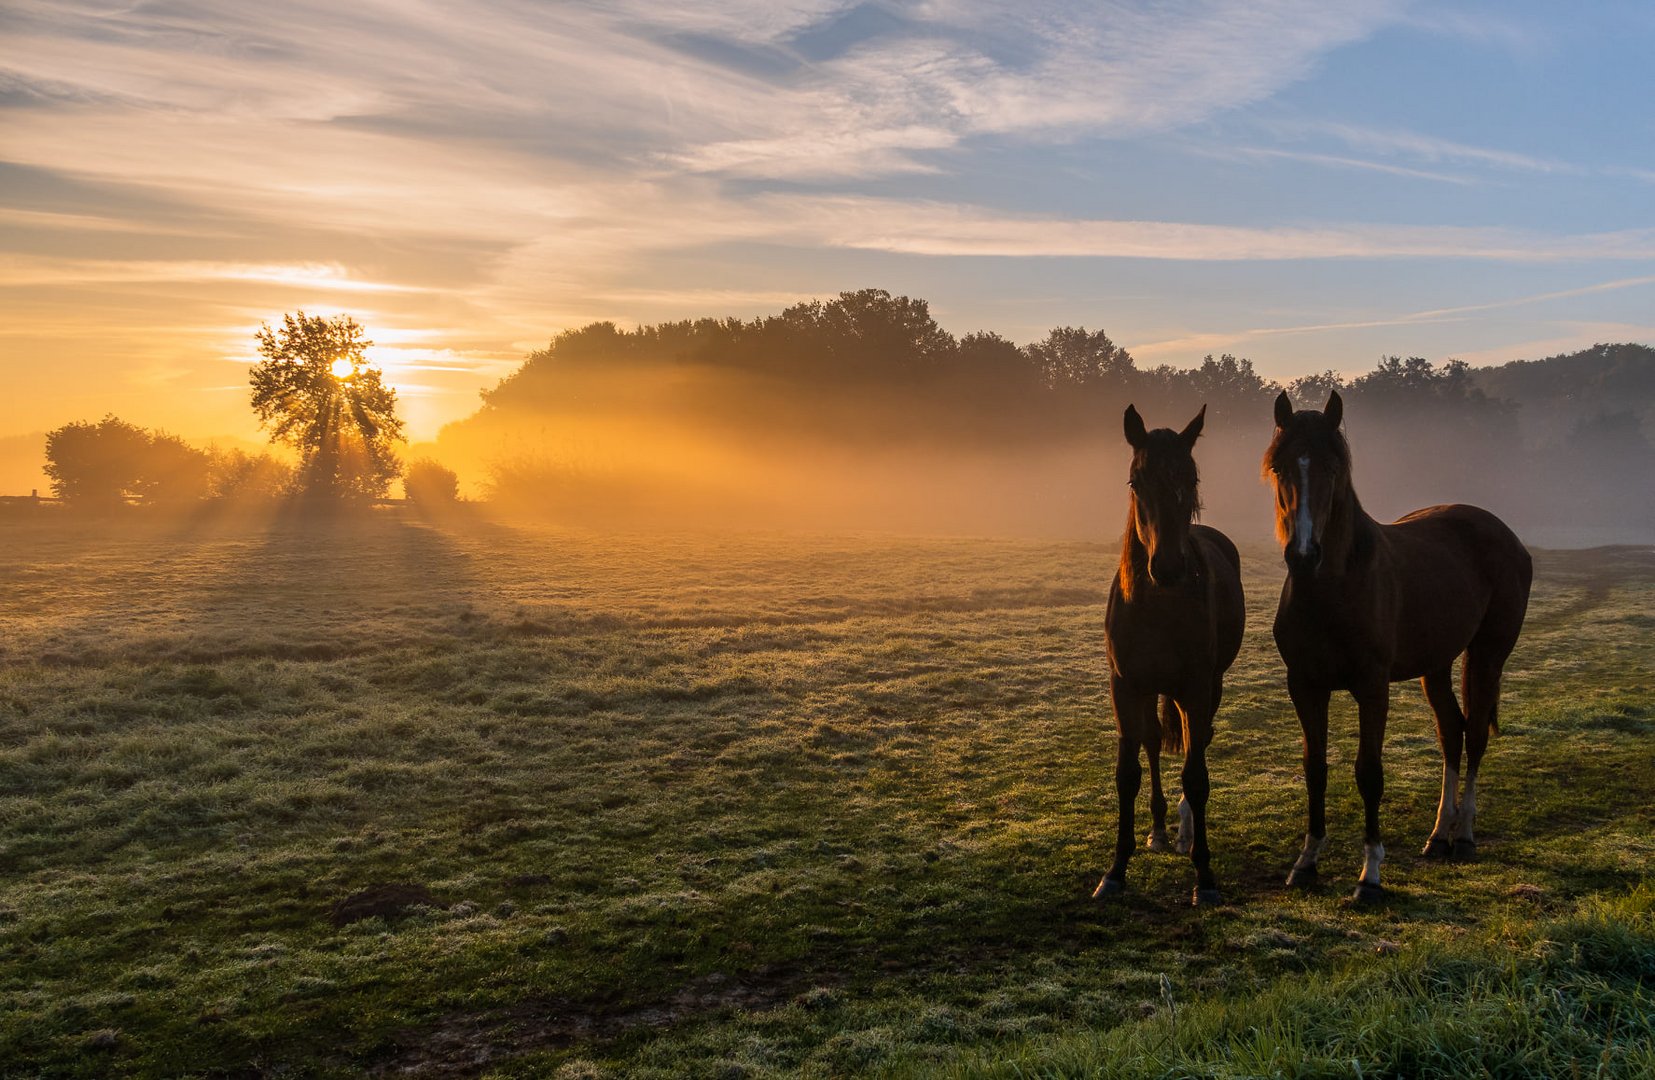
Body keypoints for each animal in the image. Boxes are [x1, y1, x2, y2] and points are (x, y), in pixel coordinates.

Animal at [1098, 401, 1244, 899]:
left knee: (1196, 741)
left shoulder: (1196, 688)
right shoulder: (1126, 687)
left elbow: (1196, 776)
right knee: (1153, 741)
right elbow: (1128, 774)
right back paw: (1160, 830)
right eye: (1135, 481)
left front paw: (1205, 874)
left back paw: (1182, 831)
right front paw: (1116, 870)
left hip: (1207, 687)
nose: (1166, 566)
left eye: (1191, 478)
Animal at [1271, 390, 1529, 899]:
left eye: (1333, 468)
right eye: (1281, 467)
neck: (1333, 589)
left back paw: (1464, 837)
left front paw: (1370, 874)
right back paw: (1438, 836)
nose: (1304, 555)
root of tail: (1505, 534)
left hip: (1488, 655)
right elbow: (1315, 768)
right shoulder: (1305, 686)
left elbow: (1369, 773)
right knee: (1451, 732)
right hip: (1437, 664)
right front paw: (1306, 862)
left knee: (1474, 736)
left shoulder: (1373, 688)